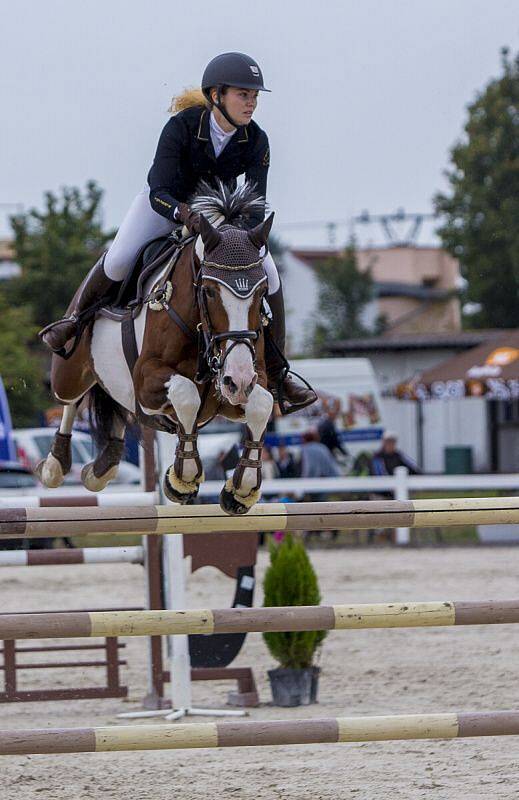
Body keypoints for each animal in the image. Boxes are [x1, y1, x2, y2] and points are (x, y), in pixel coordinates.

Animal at [37, 185, 276, 516]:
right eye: (209, 292)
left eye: (262, 292)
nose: (237, 381)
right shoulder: (147, 380)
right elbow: (186, 394)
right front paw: (182, 479)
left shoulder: (247, 383)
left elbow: (262, 404)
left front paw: (241, 489)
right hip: (69, 372)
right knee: (71, 400)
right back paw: (56, 464)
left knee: (120, 408)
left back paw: (103, 467)